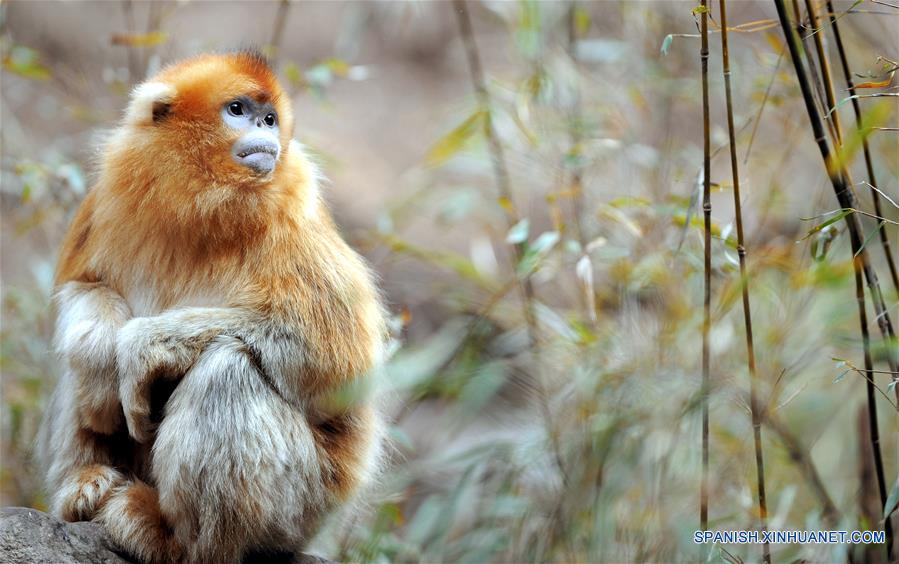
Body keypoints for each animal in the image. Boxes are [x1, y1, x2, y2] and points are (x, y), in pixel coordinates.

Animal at [38, 50, 386, 560]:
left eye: (270, 118)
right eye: (238, 110)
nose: (265, 132)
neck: (200, 198)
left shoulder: (294, 207)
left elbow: (336, 360)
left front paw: (142, 347)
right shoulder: (110, 193)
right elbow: (85, 289)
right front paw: (103, 360)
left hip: (302, 507)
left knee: (228, 370)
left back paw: (171, 539)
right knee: (80, 364)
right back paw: (87, 485)